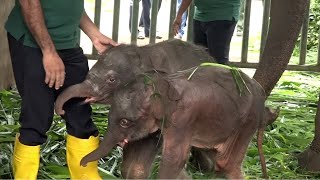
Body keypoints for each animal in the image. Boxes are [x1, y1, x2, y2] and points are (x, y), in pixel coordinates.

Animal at [79, 64, 276, 179]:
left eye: (124, 122)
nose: (82, 164)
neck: (164, 82)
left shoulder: (183, 119)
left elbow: (174, 160)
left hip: (247, 121)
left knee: (226, 163)